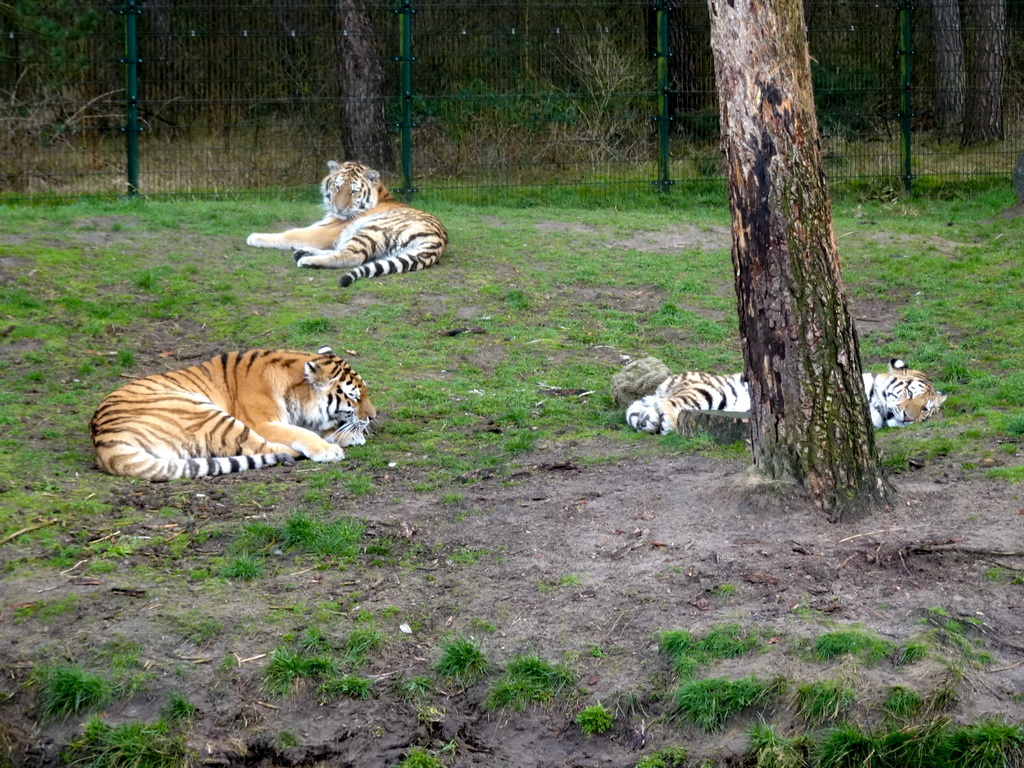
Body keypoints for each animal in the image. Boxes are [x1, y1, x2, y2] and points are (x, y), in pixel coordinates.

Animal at [89, 348, 376, 481]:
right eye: (354, 396)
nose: (373, 416)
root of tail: (104, 441)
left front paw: (347, 434)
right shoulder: (261, 421)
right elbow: (300, 432)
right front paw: (329, 447)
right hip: (204, 412)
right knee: (262, 447)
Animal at [243, 159, 448, 288]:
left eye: (353, 191)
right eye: (337, 187)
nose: (339, 209)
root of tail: (437, 244)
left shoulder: (324, 231)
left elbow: (291, 233)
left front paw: (255, 237)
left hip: (370, 229)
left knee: (352, 256)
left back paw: (307, 259)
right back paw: (303, 252)